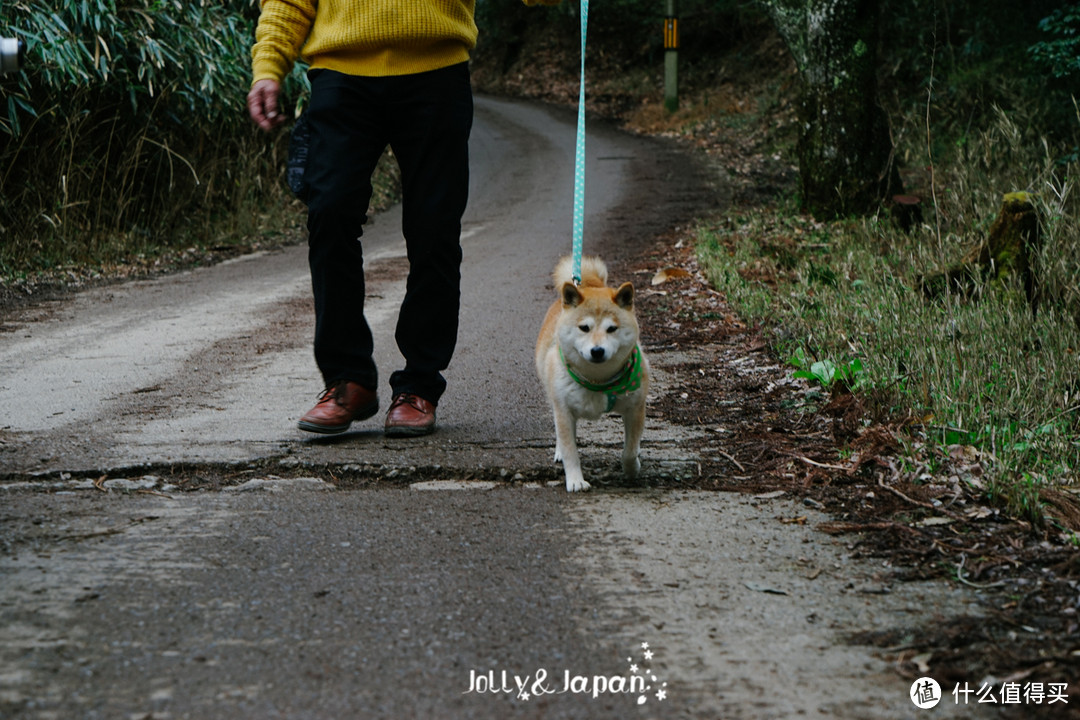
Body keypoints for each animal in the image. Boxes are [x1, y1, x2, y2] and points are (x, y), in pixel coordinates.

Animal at [533, 255, 648, 492]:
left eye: (611, 329)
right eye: (584, 328)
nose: (597, 350)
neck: (599, 380)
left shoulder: (635, 408)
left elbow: (630, 450)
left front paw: (632, 469)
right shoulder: (564, 411)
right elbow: (570, 451)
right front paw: (575, 480)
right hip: (554, 396)